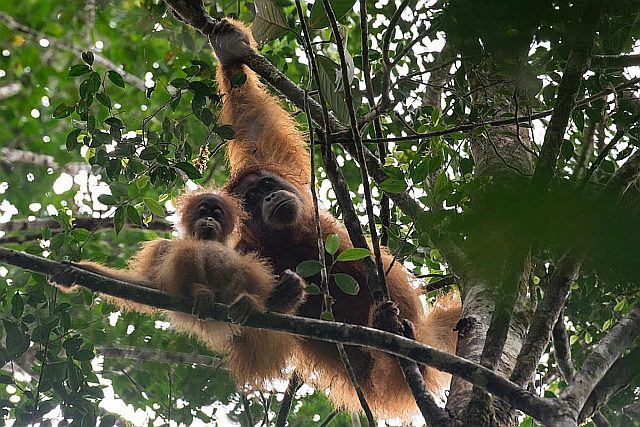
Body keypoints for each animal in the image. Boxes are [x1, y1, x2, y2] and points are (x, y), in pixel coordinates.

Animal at [52, 188, 306, 387]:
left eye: (216, 214)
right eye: (203, 212)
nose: (209, 220)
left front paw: (288, 289)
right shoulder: (162, 247)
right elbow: (146, 284)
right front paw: (75, 270)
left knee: (244, 268)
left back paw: (253, 302)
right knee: (188, 250)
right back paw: (198, 292)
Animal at [210, 18, 462, 419]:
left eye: (265, 186)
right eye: (251, 200)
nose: (270, 197)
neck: (292, 240)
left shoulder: (277, 166)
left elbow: (253, 125)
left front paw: (229, 49)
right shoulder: (243, 255)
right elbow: (251, 345)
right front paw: (280, 296)